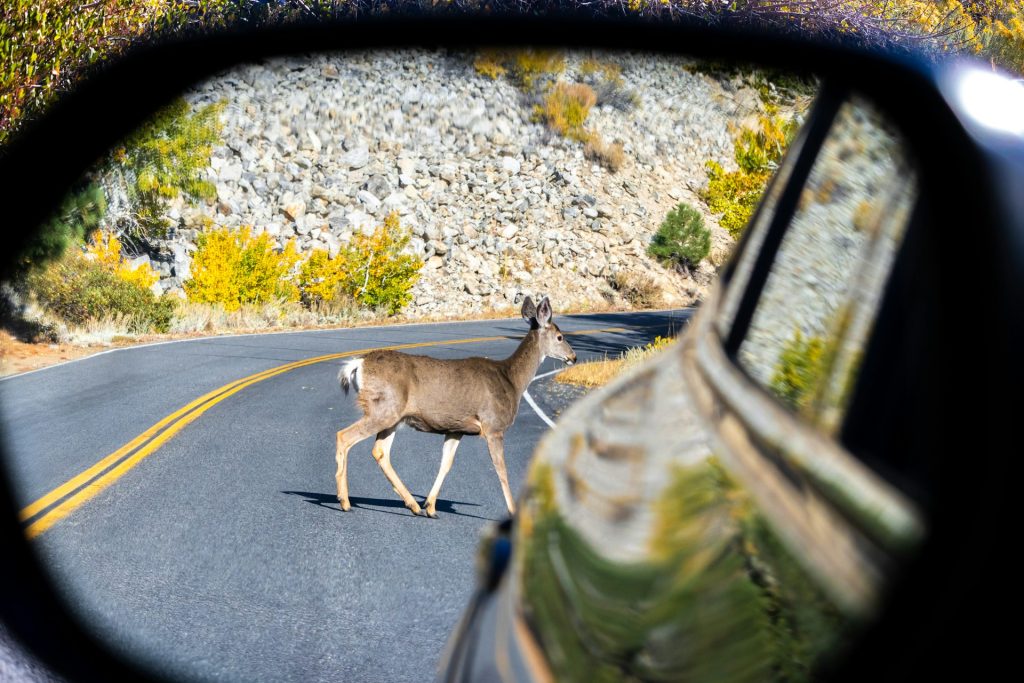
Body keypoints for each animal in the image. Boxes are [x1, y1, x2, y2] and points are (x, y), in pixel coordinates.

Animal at [333, 296, 576, 518]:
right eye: (560, 337)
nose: (573, 357)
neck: (512, 381)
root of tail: (358, 364)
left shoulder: (455, 428)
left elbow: (446, 464)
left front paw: (431, 506)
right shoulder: (493, 426)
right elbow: (502, 470)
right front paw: (513, 510)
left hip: (393, 417)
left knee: (380, 451)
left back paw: (412, 505)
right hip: (383, 409)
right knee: (344, 436)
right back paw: (344, 501)